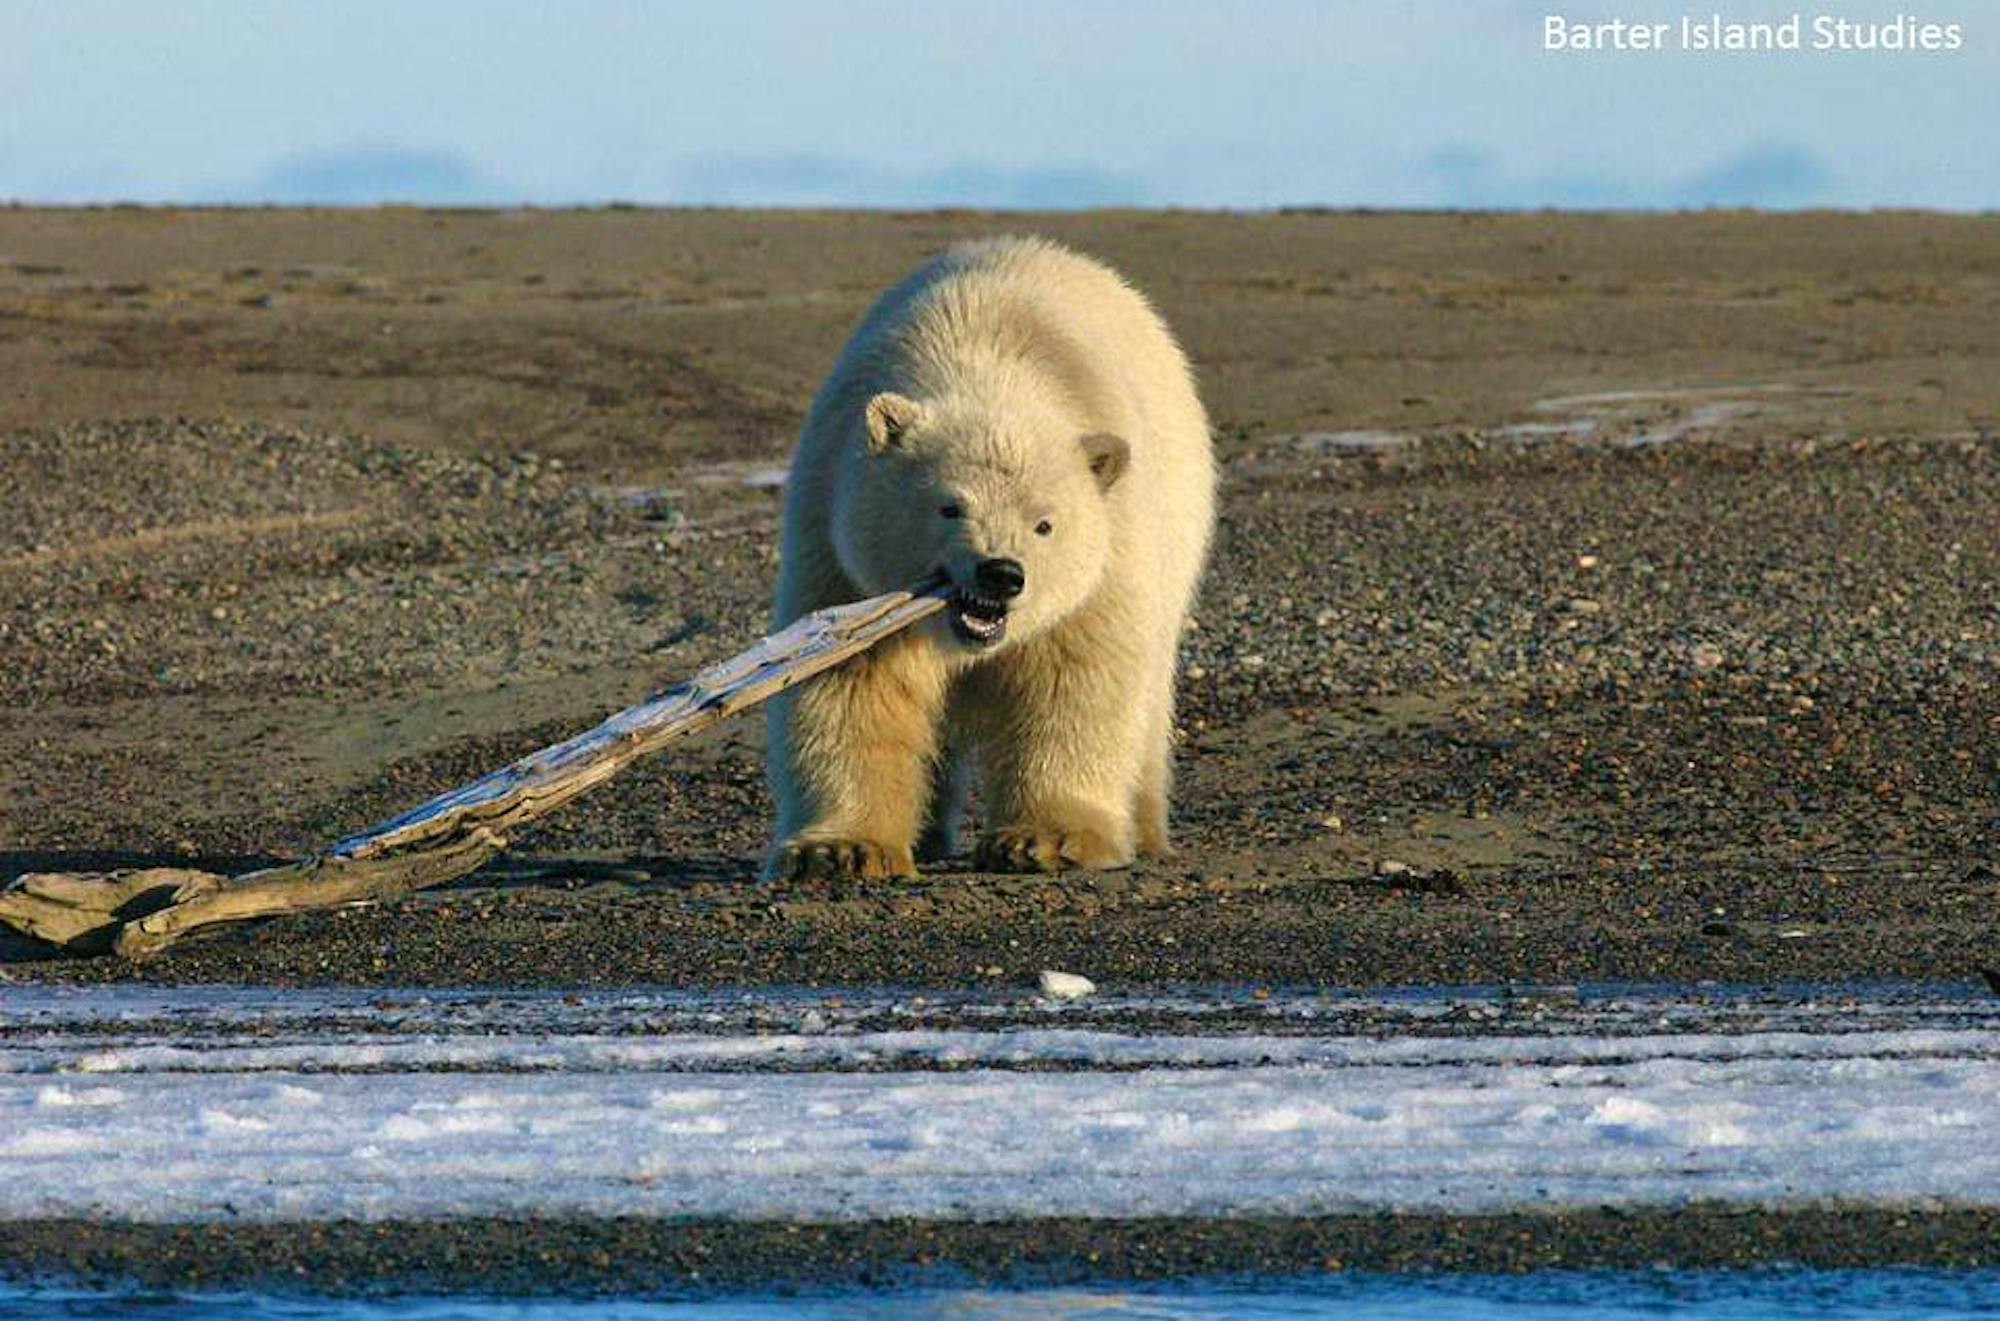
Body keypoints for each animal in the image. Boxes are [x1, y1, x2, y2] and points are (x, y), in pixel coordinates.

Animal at [760, 237, 1208, 876]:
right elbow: (854, 684)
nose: (1001, 574)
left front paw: (1046, 838)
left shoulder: (1106, 556)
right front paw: (840, 848)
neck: (986, 362)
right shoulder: (838, 543)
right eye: (950, 507)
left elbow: (1073, 681)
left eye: (1045, 525)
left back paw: (1142, 829)